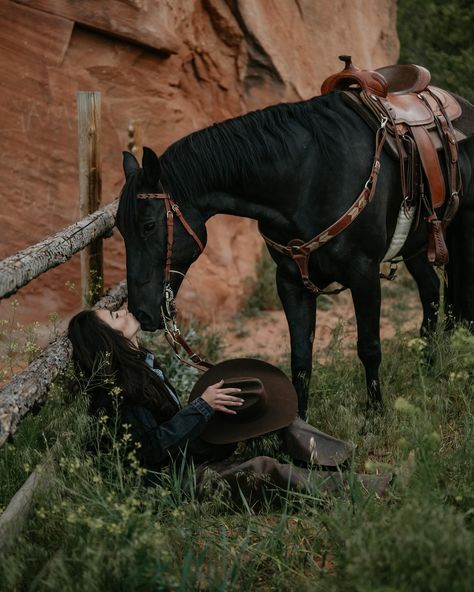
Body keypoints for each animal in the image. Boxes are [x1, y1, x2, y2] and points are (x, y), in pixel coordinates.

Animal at [115, 91, 474, 416]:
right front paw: (300, 424)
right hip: (417, 245)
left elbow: (369, 346)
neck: (310, 176)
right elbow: (300, 357)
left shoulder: (364, 272)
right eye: (119, 227)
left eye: (148, 225)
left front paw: (375, 415)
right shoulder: (290, 280)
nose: (142, 312)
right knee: (431, 293)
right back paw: (429, 366)